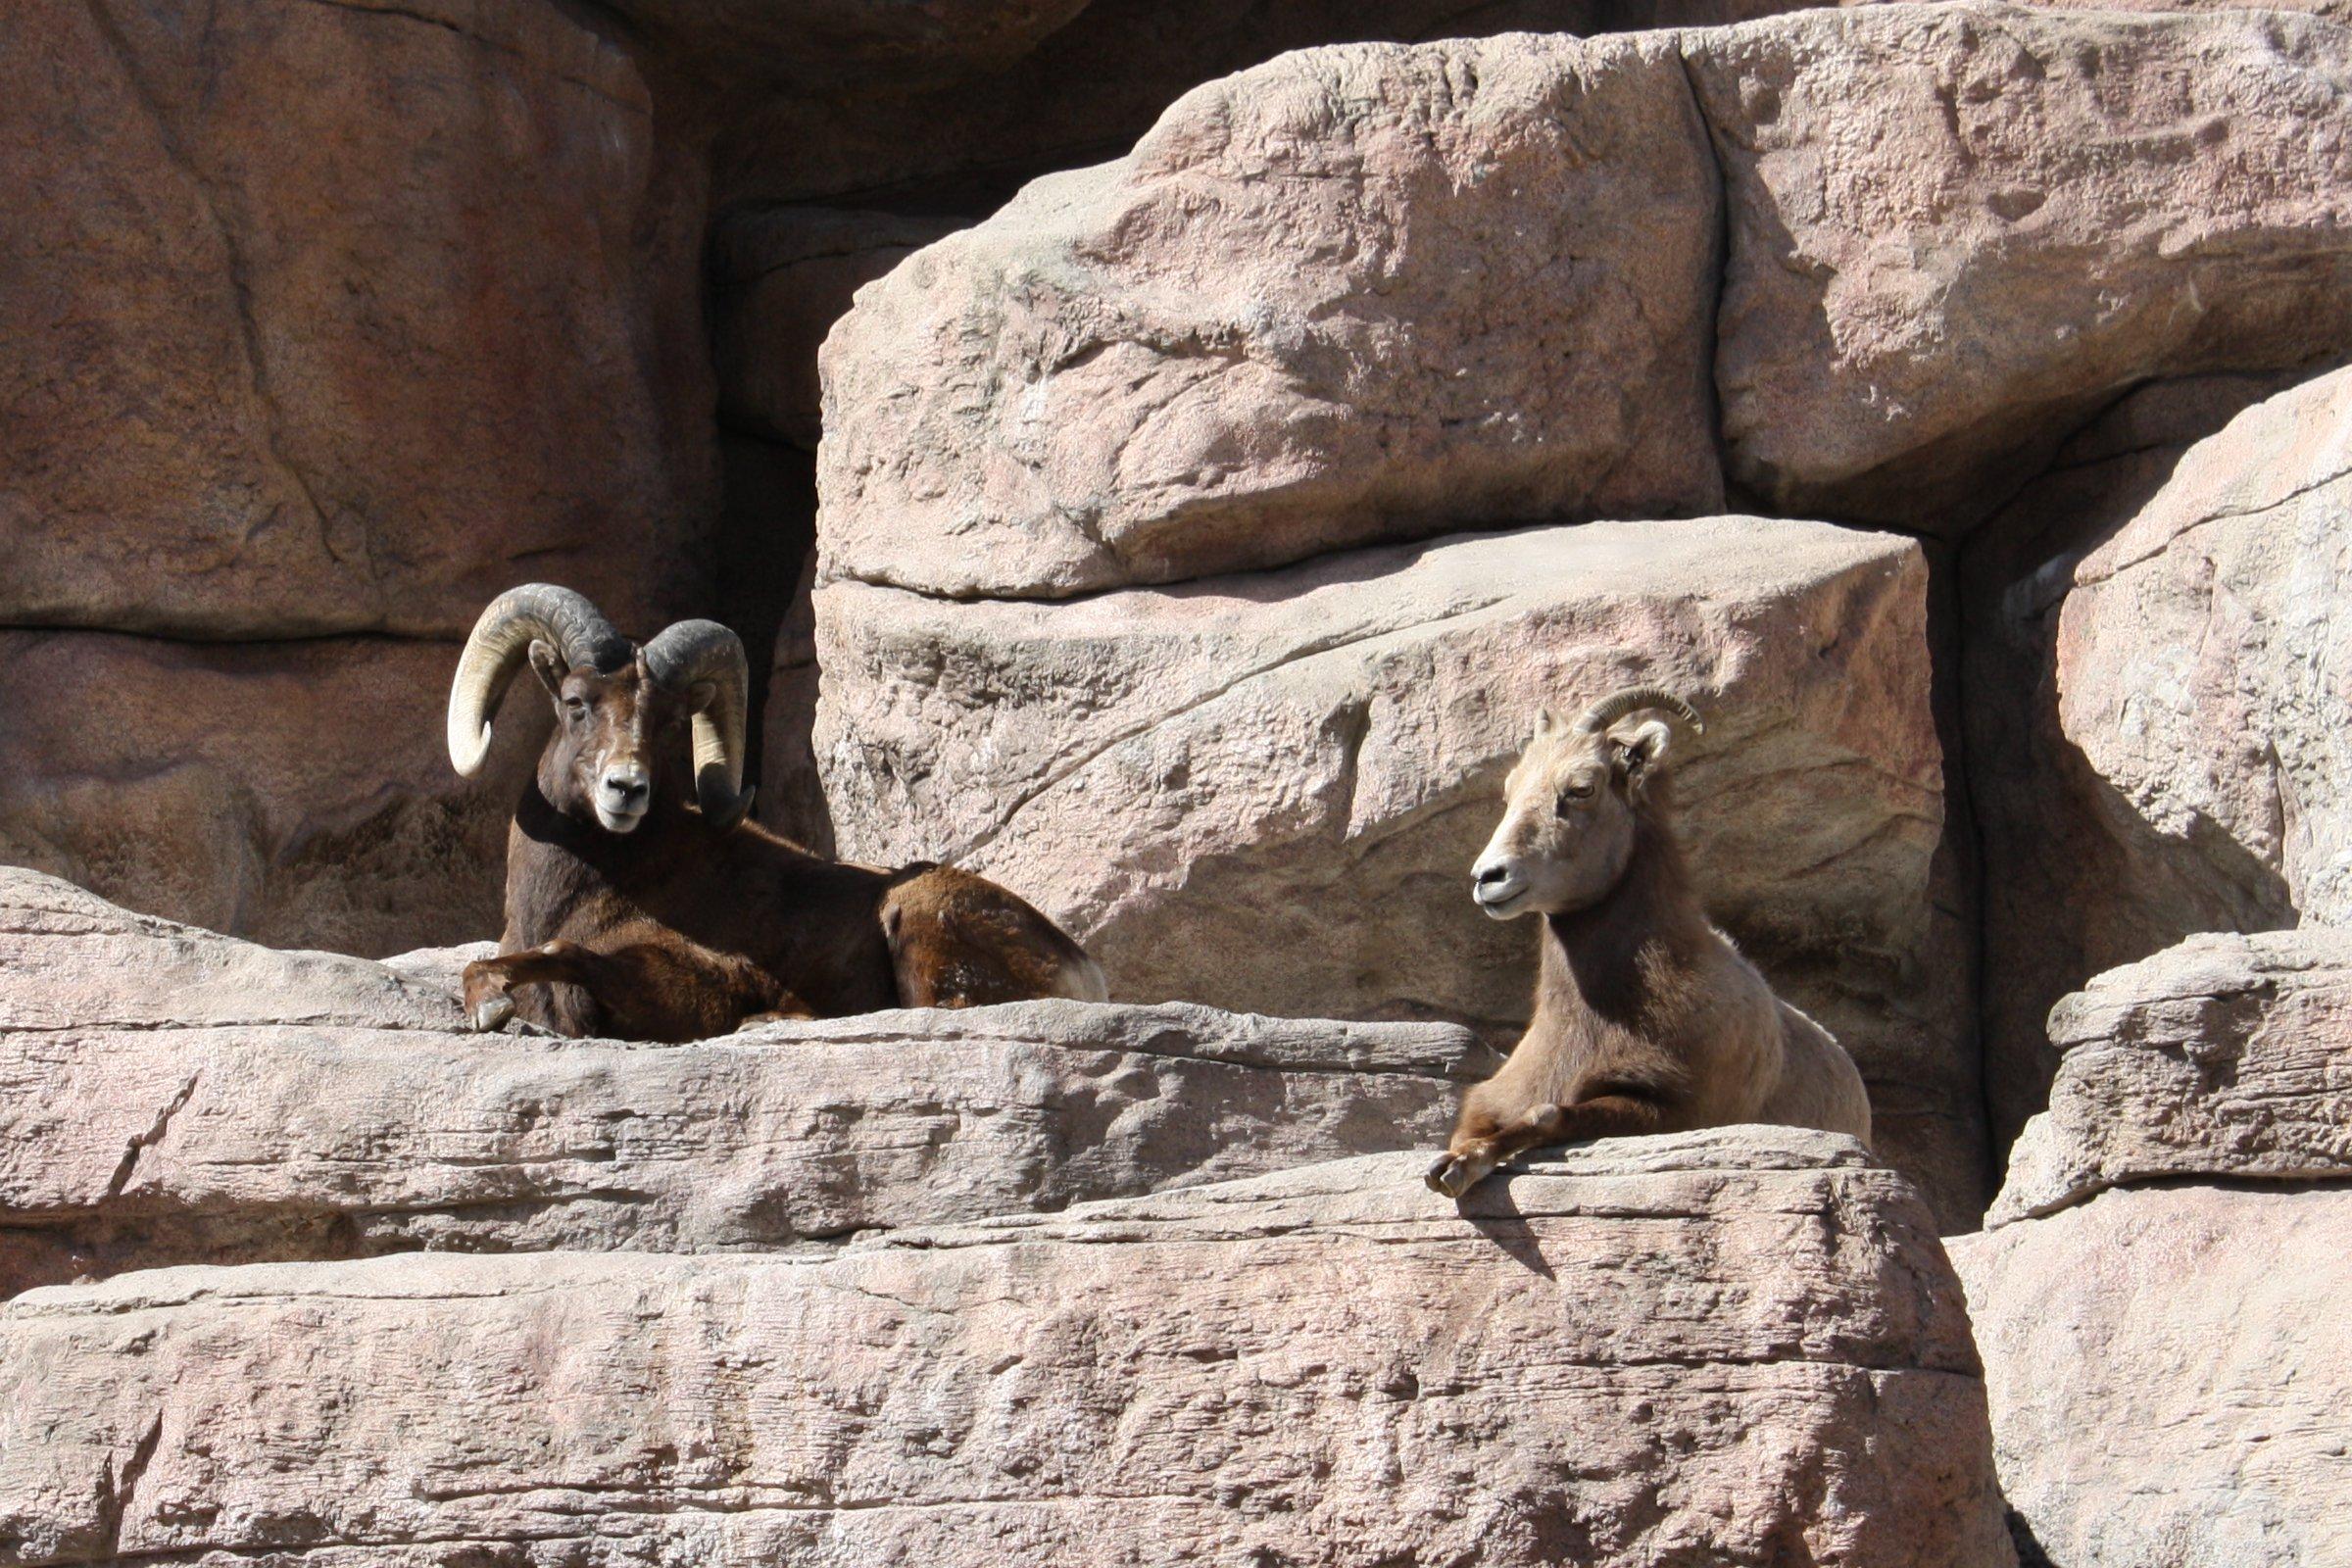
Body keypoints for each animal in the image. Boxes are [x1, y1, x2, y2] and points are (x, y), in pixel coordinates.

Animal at [446, 584, 1106, 1041]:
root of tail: (1083, 969)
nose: (626, 788)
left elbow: (564, 958)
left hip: (915, 912)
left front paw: (491, 1003)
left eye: (667, 721)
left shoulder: (705, 978)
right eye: (576, 702)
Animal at [1425, 686, 1871, 1198]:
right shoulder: (1493, 1099)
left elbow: (1548, 1113)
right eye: (1510, 790)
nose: (1489, 878)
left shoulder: (1674, 1110)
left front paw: (1456, 1170)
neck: (1594, 1022)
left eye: (1582, 788)